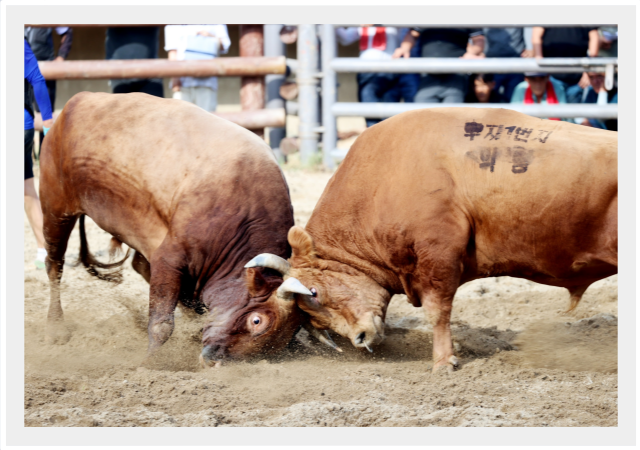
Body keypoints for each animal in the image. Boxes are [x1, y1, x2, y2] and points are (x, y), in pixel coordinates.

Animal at [40, 91, 312, 366]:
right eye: (257, 320)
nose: (214, 361)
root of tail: (77, 101)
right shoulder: (169, 258)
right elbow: (162, 323)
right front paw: (150, 361)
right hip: (56, 209)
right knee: (55, 264)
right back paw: (55, 328)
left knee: (139, 265)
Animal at [248, 109, 616, 372]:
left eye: (314, 293)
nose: (360, 339)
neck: (382, 179)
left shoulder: (438, 257)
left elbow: (438, 311)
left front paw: (443, 361)